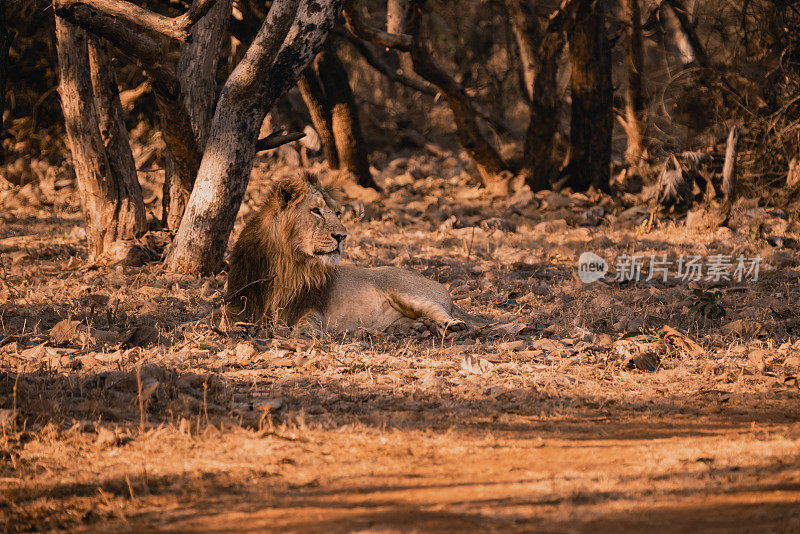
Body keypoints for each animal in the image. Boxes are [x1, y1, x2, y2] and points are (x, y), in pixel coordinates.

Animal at [222, 174, 472, 338]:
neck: (288, 261)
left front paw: (303, 332)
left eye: (338, 213)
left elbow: (308, 320)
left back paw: (452, 325)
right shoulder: (240, 298)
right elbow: (229, 318)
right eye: (315, 211)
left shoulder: (310, 303)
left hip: (408, 291)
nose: (342, 236)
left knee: (438, 310)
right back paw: (417, 327)